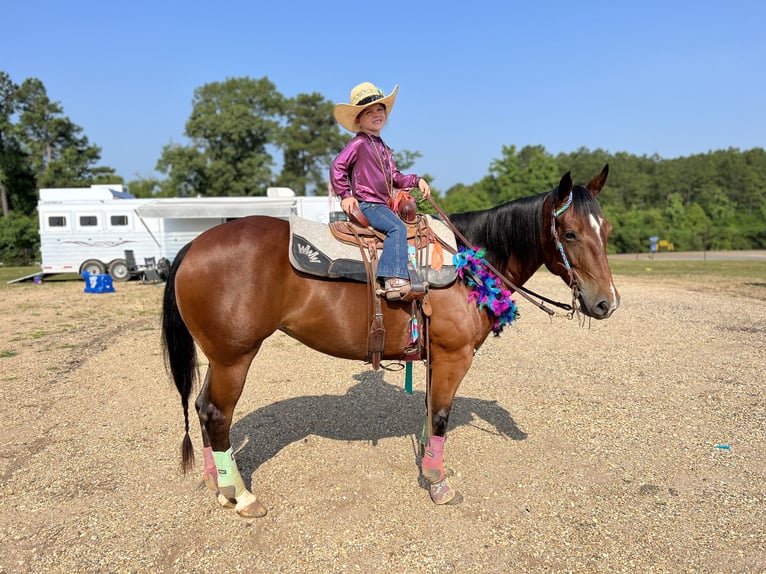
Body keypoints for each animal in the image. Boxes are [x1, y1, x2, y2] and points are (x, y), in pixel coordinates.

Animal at [164, 164, 624, 520]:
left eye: (607, 229)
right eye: (569, 233)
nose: (607, 303)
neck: (469, 266)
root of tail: (192, 246)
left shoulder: (436, 357)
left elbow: (430, 411)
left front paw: (426, 460)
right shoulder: (454, 356)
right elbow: (441, 415)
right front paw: (438, 483)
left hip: (221, 359)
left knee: (202, 409)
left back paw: (219, 486)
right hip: (234, 358)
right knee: (216, 414)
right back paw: (242, 496)